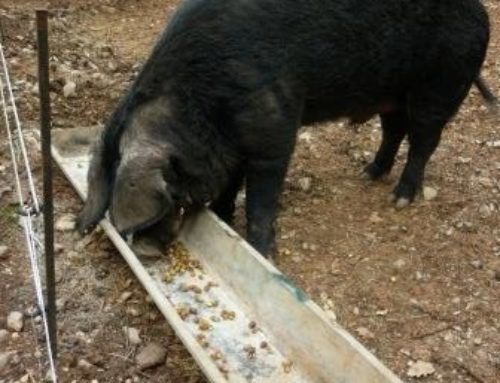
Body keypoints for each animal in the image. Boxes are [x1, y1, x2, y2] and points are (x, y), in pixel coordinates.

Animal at [77, 0, 492, 260]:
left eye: (167, 193)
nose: (145, 250)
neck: (203, 106)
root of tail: (480, 12)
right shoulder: (232, 146)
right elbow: (230, 185)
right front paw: (222, 216)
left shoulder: (274, 134)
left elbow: (261, 200)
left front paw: (262, 252)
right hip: (392, 93)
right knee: (394, 129)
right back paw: (369, 174)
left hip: (442, 84)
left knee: (425, 138)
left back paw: (400, 198)